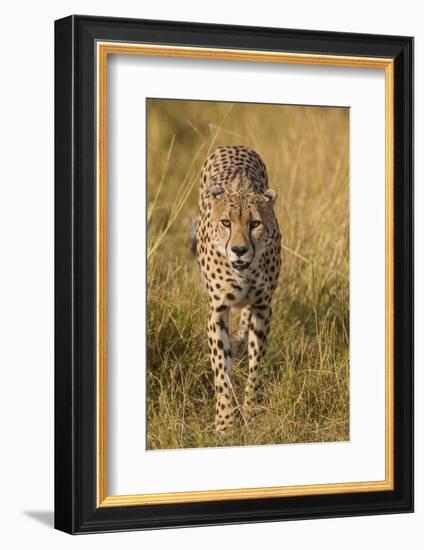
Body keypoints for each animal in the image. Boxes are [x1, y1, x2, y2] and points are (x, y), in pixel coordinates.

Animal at [195, 146, 282, 432]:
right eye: (226, 223)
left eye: (255, 223)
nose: (240, 250)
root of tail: (234, 146)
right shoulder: (217, 310)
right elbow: (221, 370)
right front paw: (225, 422)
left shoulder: (263, 307)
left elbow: (256, 366)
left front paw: (250, 411)